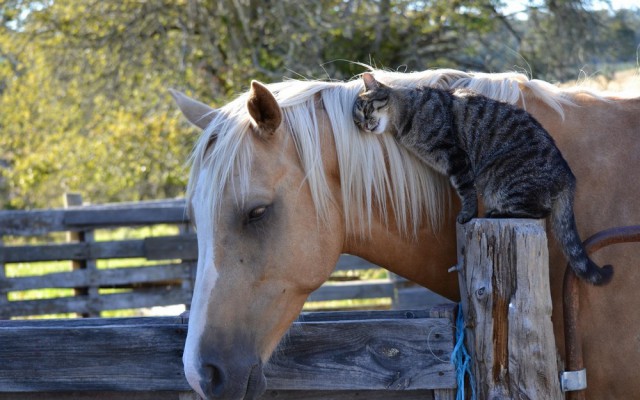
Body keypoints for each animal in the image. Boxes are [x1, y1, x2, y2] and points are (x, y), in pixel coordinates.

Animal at [352, 72, 612, 284]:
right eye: (357, 120)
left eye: (366, 109)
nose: (365, 125)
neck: (406, 115)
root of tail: (568, 176)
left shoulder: (456, 157)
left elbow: (465, 191)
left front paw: (466, 215)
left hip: (501, 180)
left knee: (539, 211)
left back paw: (497, 213)